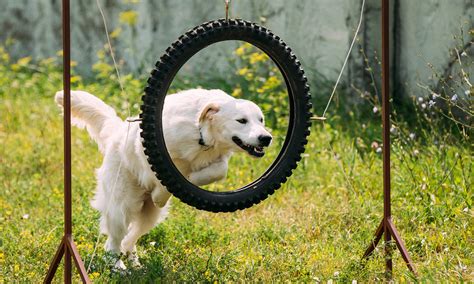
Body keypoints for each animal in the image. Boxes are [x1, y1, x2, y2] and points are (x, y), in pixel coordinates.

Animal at [54, 89, 272, 268]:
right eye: (241, 120)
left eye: (261, 120)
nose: (266, 138)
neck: (201, 133)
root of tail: (117, 132)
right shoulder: (148, 148)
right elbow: (159, 175)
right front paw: (162, 192)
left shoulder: (219, 157)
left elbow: (219, 170)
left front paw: (191, 179)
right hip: (122, 207)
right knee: (113, 242)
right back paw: (117, 267)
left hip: (149, 216)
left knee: (128, 240)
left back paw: (135, 265)